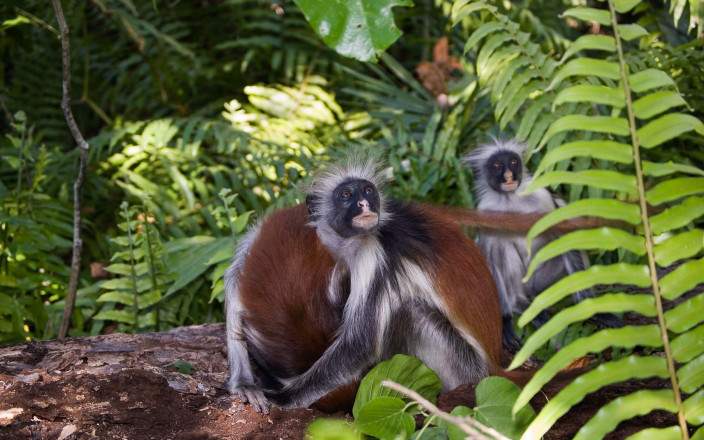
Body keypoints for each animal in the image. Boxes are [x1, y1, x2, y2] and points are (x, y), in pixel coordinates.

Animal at [464, 138, 619, 352]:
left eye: (513, 162)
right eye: (497, 165)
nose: (508, 175)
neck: (510, 200)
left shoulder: (542, 199)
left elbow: (564, 239)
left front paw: (592, 310)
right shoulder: (485, 213)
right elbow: (489, 257)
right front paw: (504, 321)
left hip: (540, 281)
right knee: (499, 250)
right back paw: (521, 305)